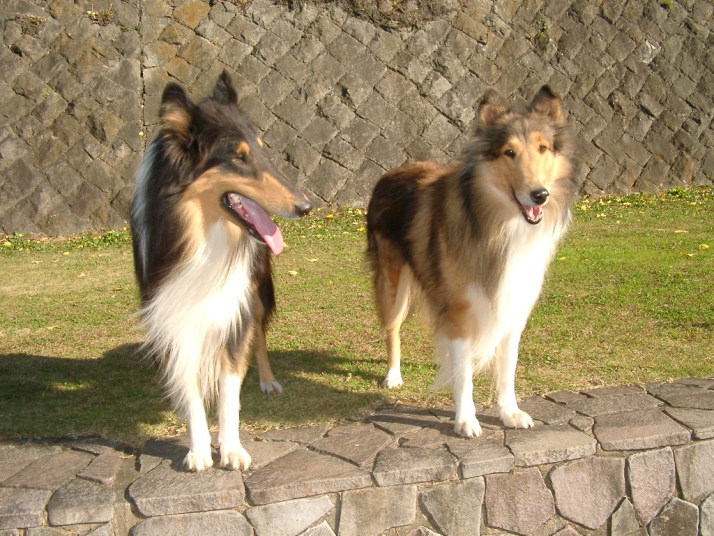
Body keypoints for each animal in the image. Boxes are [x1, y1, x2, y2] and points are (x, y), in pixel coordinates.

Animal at [130, 71, 311, 471]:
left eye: (261, 151)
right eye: (239, 158)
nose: (306, 206)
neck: (203, 237)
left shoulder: (233, 308)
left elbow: (230, 390)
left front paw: (231, 448)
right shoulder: (173, 313)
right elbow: (191, 391)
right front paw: (198, 450)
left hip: (254, 293)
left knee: (258, 337)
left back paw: (267, 380)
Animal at [367, 86, 576, 437]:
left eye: (543, 148)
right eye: (509, 152)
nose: (540, 195)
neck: (498, 227)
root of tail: (391, 172)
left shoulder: (512, 308)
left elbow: (507, 368)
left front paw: (510, 412)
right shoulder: (458, 311)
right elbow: (463, 375)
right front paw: (466, 419)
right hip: (393, 285)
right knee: (391, 328)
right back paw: (393, 375)